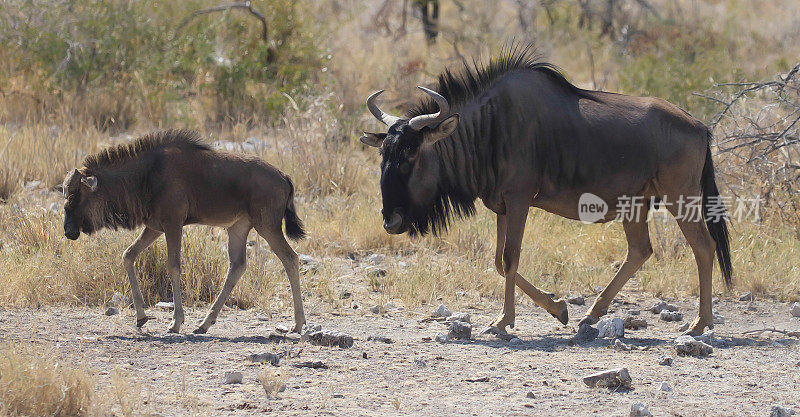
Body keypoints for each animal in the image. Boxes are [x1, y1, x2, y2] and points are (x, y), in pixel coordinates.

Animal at [61, 128, 306, 334]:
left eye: (74, 195)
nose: (68, 231)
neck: (146, 175)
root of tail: (284, 177)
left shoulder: (173, 224)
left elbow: (173, 265)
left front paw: (176, 322)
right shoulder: (154, 227)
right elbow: (128, 255)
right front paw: (141, 317)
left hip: (267, 226)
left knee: (290, 258)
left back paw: (298, 323)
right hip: (238, 228)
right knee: (237, 266)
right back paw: (205, 324)